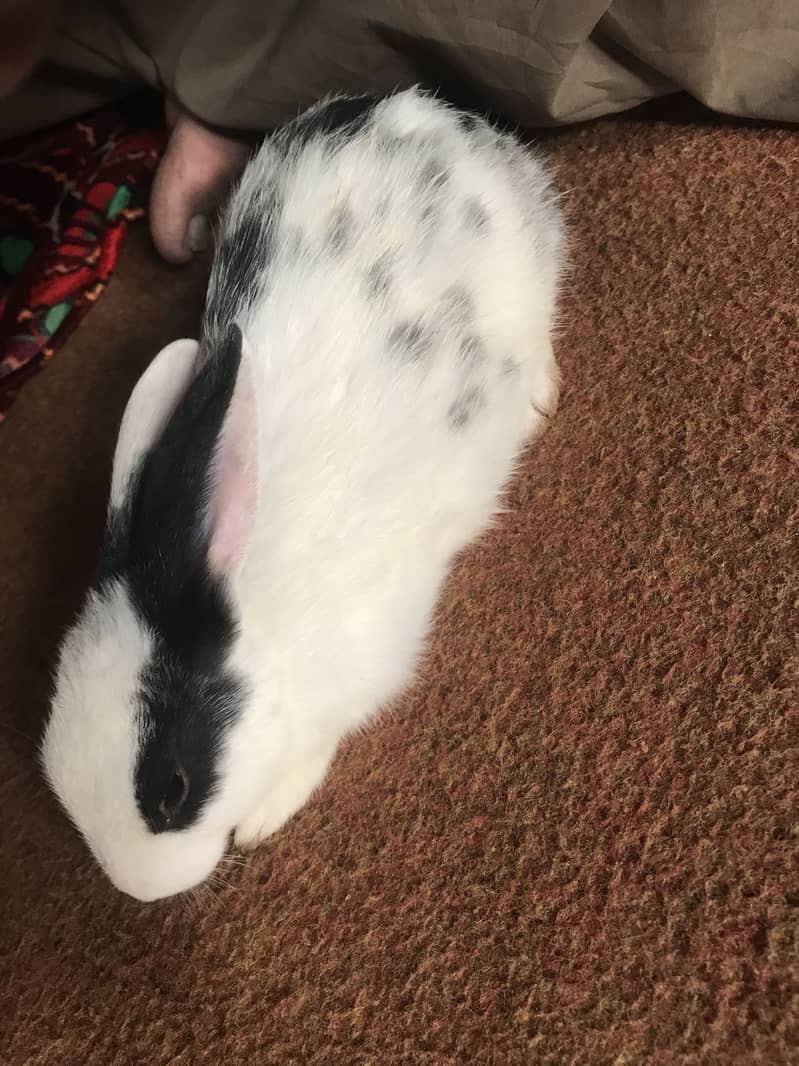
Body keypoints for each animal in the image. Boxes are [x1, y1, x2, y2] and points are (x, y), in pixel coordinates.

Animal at [41, 87, 565, 901]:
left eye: (172, 789)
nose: (141, 889)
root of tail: (422, 112)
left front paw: (264, 817)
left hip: (532, 269)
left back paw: (540, 398)